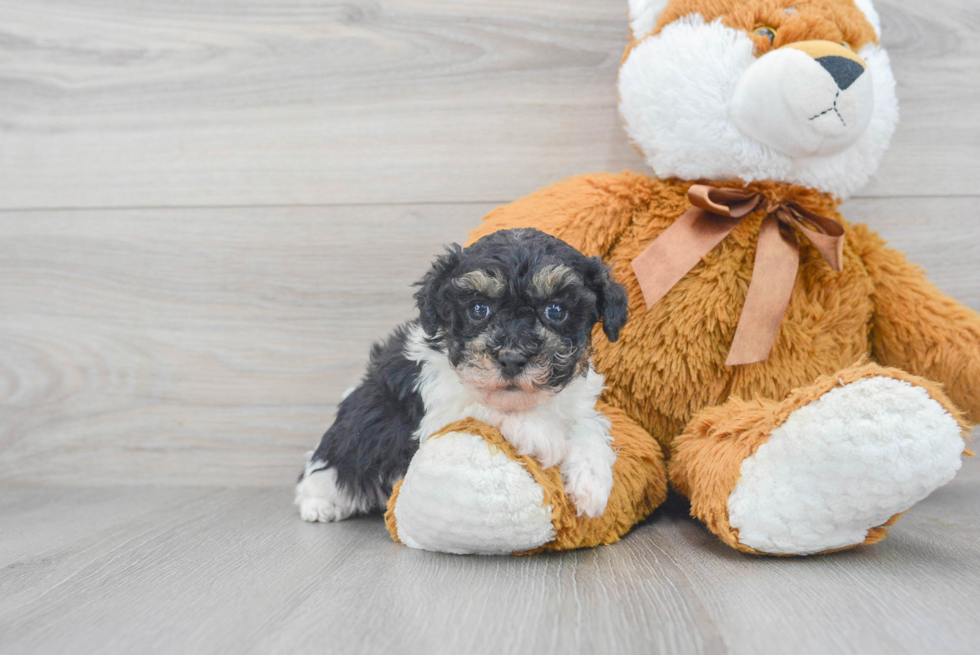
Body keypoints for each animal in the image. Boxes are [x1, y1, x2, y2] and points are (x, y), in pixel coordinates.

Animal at [294, 229, 628, 524]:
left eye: (556, 311)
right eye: (478, 309)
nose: (512, 359)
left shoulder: (576, 402)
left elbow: (588, 425)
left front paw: (593, 484)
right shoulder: (435, 409)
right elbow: (479, 406)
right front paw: (543, 434)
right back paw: (320, 506)